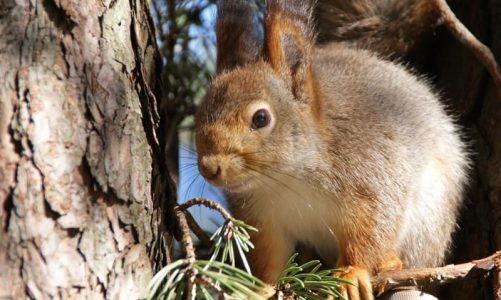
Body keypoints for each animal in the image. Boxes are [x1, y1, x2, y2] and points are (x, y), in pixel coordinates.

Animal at [192, 0, 468, 298]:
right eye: (200, 112)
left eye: (261, 118)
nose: (209, 167)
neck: (286, 178)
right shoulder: (261, 219)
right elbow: (269, 258)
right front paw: (260, 288)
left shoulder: (370, 175)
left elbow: (371, 229)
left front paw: (351, 274)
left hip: (429, 220)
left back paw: (390, 262)